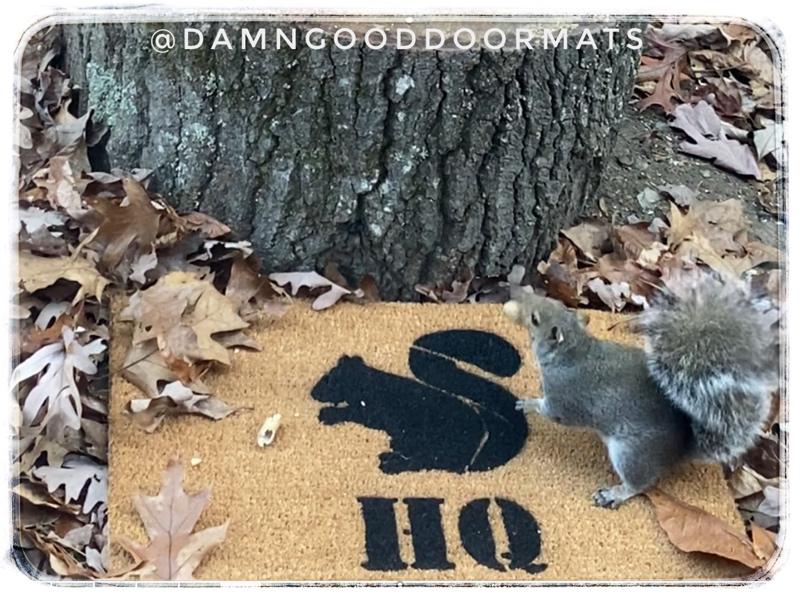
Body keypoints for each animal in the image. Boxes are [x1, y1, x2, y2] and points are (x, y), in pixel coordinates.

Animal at [503, 270, 778, 509]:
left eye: (535, 319)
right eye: (554, 302)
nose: (519, 295)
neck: (574, 350)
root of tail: (680, 449)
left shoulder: (566, 396)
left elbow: (554, 412)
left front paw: (528, 404)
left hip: (631, 454)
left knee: (640, 484)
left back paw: (614, 494)